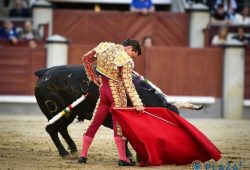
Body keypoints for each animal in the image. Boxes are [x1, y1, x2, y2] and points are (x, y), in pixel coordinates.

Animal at [34, 64, 179, 158]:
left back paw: (73, 150)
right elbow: (125, 136)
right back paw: (64, 153)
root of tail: (44, 72)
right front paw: (129, 155)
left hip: (70, 113)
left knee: (62, 129)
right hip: (56, 111)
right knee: (52, 129)